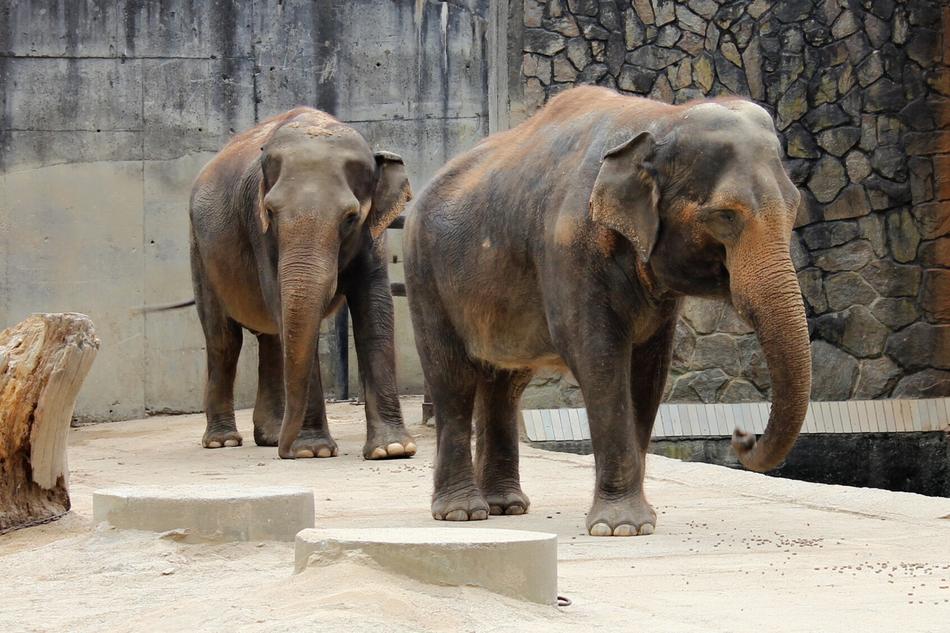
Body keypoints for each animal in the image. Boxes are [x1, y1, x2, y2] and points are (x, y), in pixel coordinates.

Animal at [187, 107, 416, 460]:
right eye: (270, 211)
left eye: (350, 217)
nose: (286, 452)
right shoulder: (259, 230)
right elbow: (283, 307)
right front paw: (313, 451)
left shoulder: (373, 233)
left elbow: (375, 309)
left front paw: (392, 450)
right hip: (201, 252)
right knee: (223, 339)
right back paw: (223, 441)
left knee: (271, 338)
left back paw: (269, 436)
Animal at [403, 86, 810, 535]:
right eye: (725, 215)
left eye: (795, 207)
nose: (742, 435)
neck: (661, 118)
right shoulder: (568, 249)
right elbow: (599, 360)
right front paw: (620, 528)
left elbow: (649, 371)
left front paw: (639, 522)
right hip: (424, 275)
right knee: (451, 378)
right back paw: (461, 513)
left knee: (505, 384)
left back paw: (505, 506)